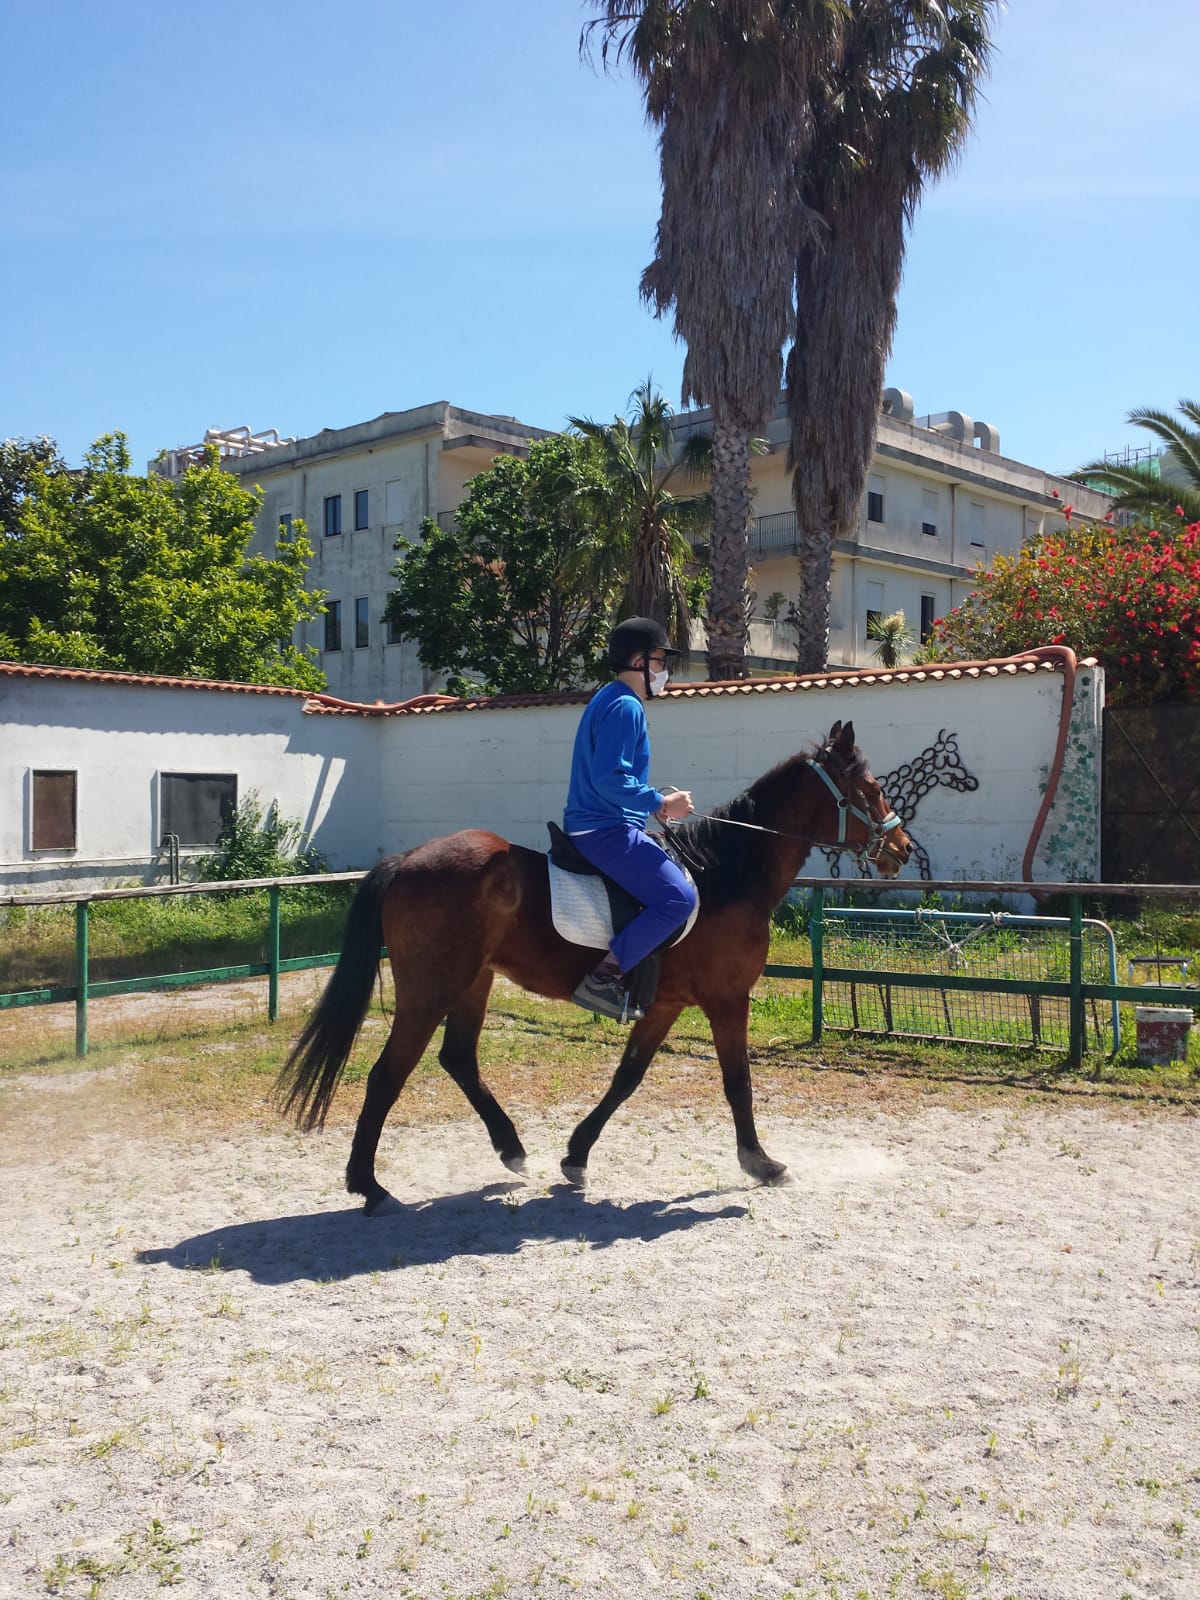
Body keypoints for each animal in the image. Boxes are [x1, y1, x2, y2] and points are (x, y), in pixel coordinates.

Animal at [275, 720, 912, 1212]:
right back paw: (369, 1185)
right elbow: (738, 1083)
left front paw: (576, 1155)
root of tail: (405, 860)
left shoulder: (665, 1004)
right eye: (871, 787)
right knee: (388, 1074)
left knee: (457, 1059)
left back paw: (512, 1150)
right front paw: (762, 1163)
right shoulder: (727, 1000)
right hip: (431, 989)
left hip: (474, 980)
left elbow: (626, 1078)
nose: (902, 848)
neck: (726, 874)